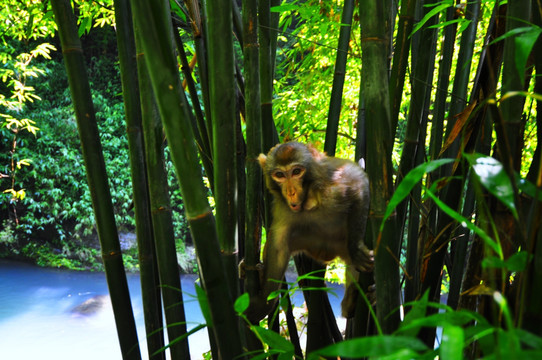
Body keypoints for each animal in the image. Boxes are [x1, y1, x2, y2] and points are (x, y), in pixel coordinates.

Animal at [249, 142, 376, 322]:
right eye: (279, 175)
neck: (309, 195)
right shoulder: (283, 208)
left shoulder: (334, 182)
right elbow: (278, 247)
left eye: (296, 172)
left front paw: (356, 248)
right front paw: (262, 304)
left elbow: (359, 182)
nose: (290, 192)